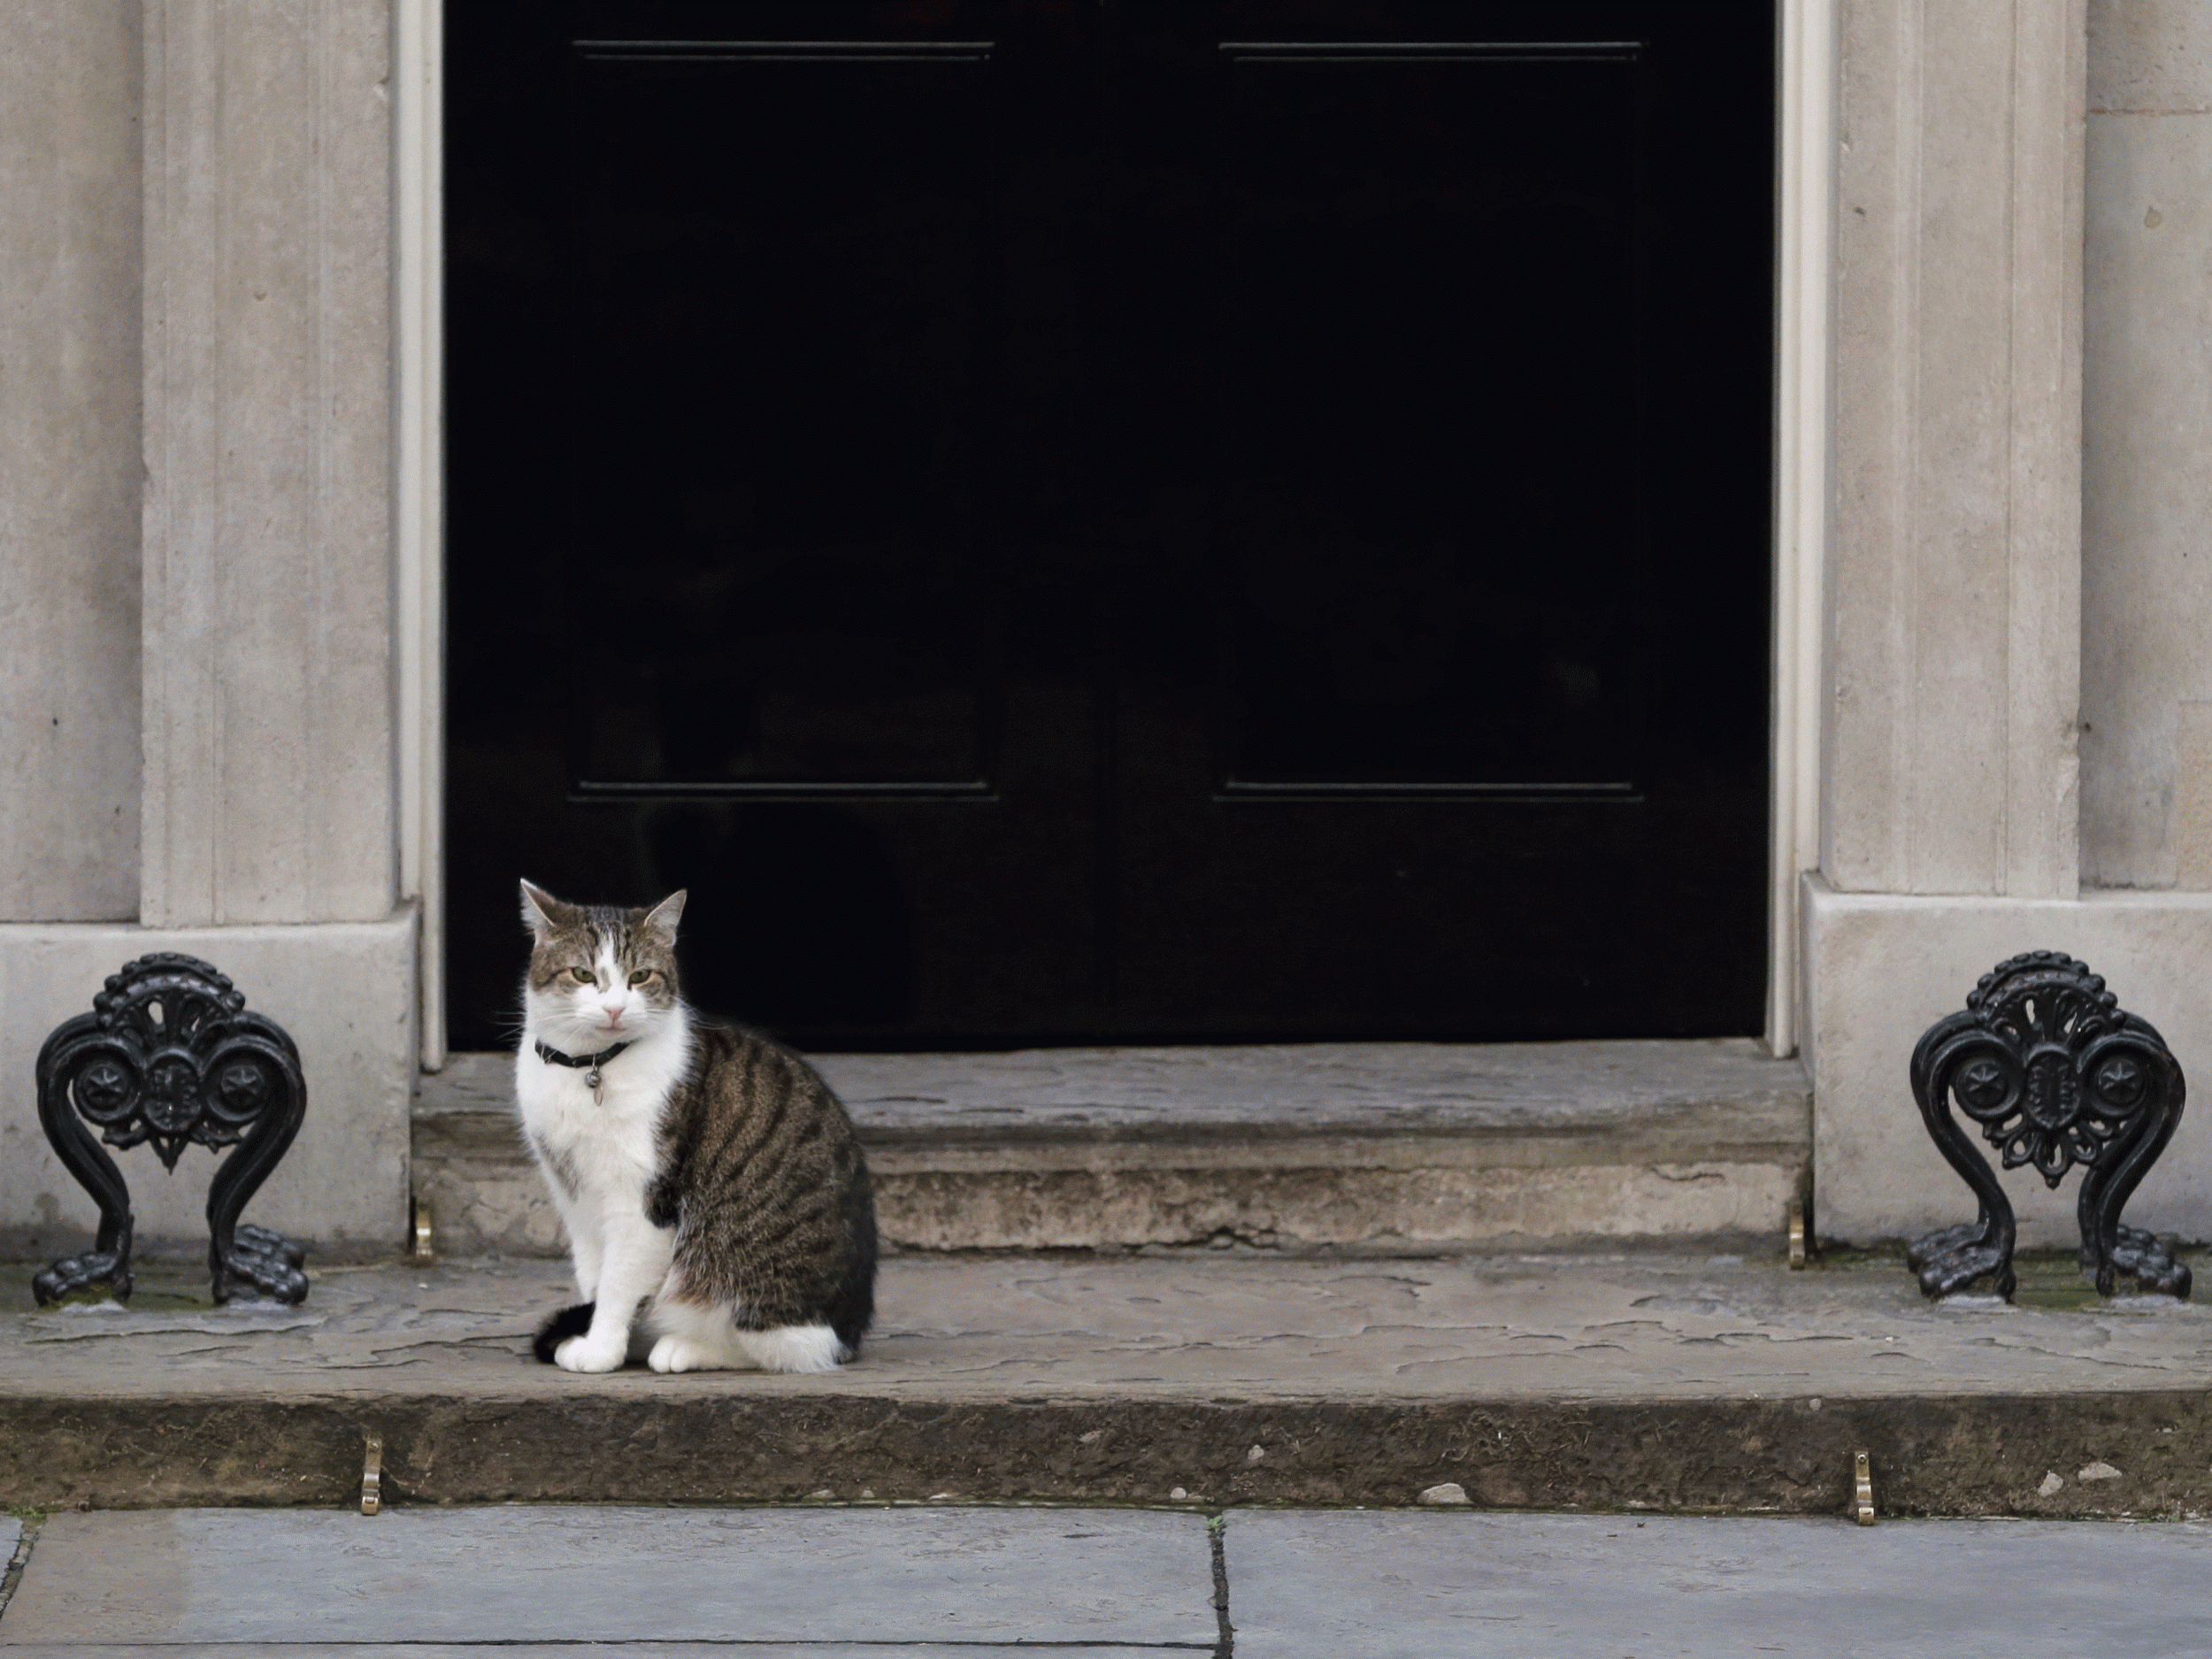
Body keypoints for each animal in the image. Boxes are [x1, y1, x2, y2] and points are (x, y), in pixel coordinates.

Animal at [513, 885, 876, 1380]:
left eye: (641, 976)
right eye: (583, 974)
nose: (614, 1008)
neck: (589, 1066)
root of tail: (850, 1332)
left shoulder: (642, 1202)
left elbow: (617, 1282)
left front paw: (600, 1348)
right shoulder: (574, 1198)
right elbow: (594, 1278)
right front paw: (599, 1337)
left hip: (743, 1274)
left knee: (781, 1349)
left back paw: (680, 1347)